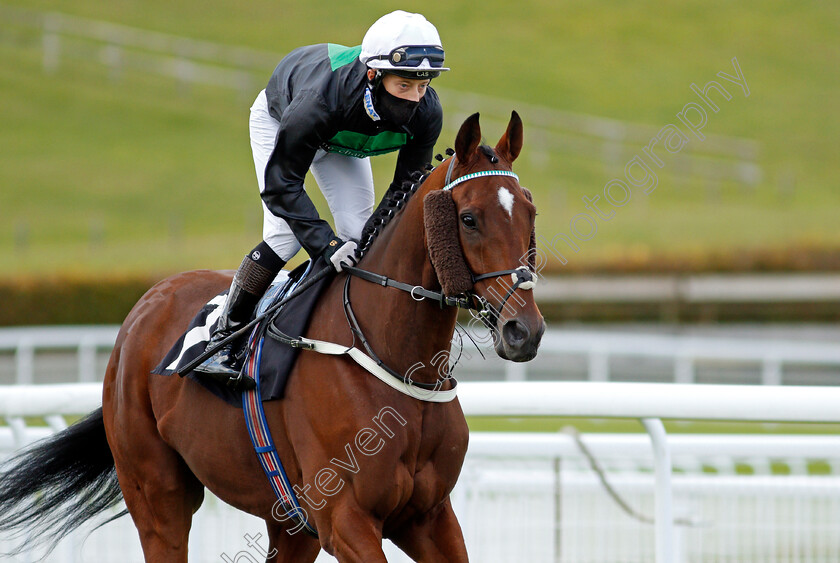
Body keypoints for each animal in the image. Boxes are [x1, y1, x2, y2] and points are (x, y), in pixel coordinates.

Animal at [0, 112, 544, 560]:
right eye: (469, 219)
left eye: (530, 212)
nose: (525, 330)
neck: (392, 359)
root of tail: (145, 305)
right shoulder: (345, 519)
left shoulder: (428, 517)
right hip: (157, 492)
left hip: (288, 519)